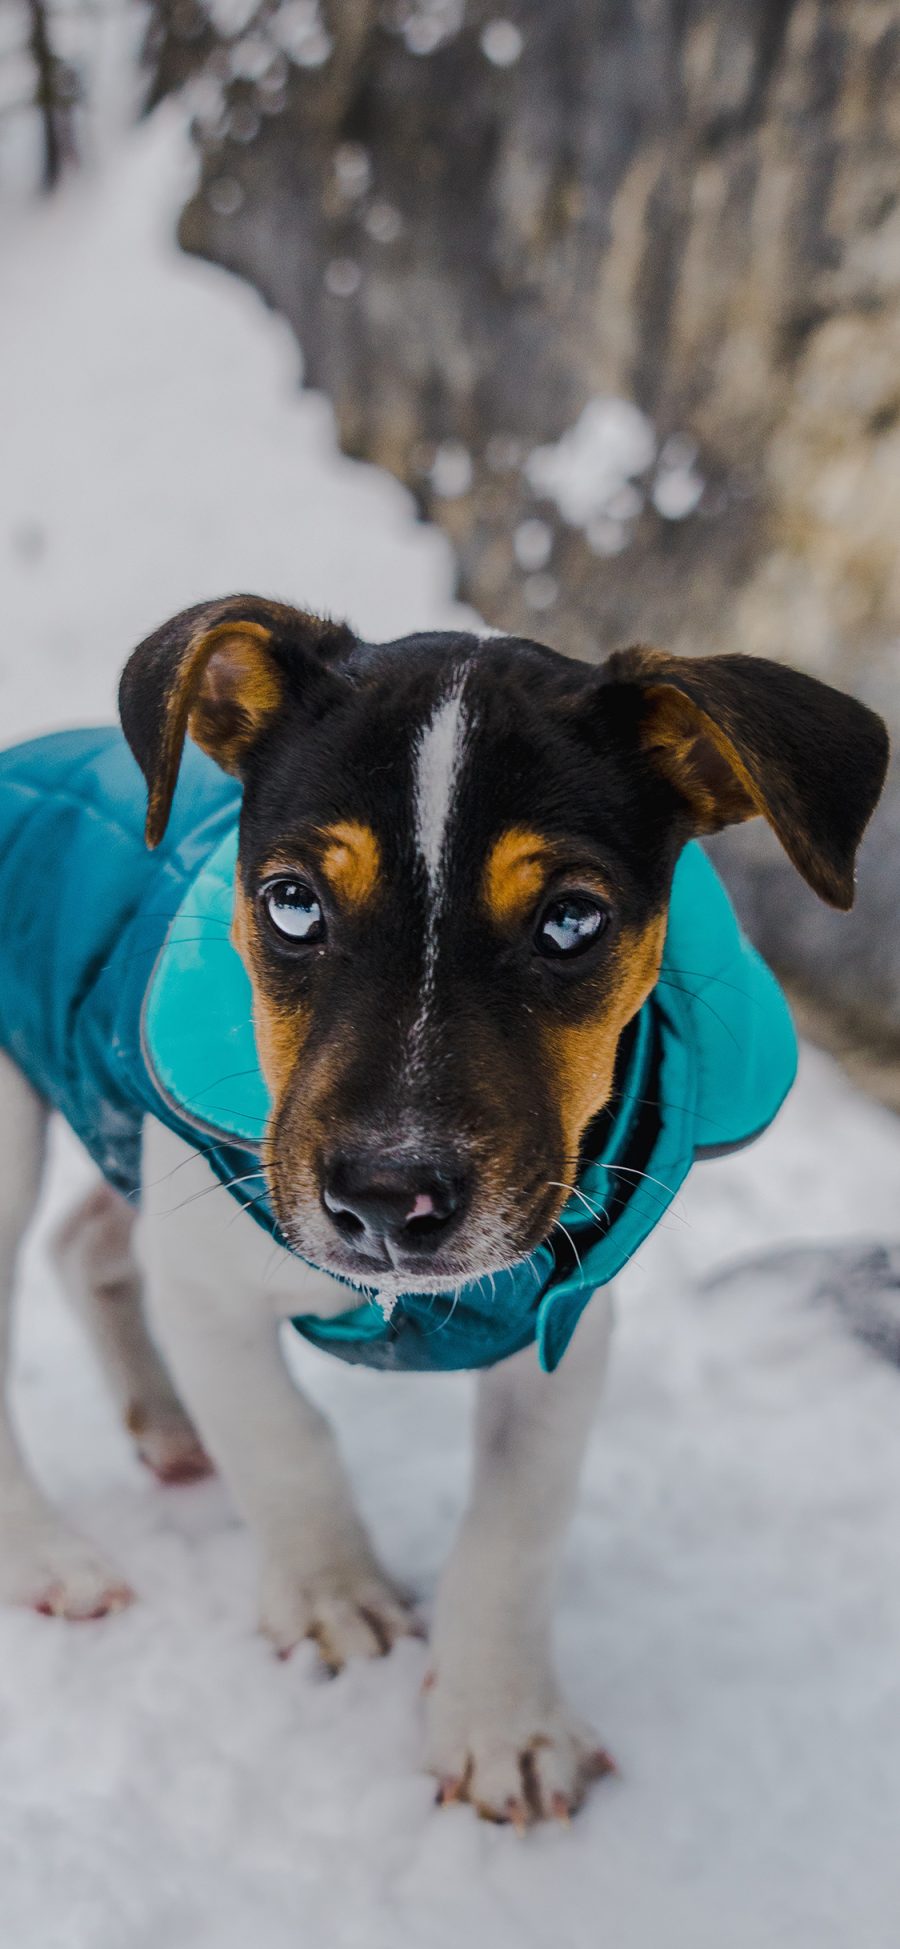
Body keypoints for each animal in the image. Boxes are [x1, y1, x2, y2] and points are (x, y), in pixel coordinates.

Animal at [0, 596, 884, 1824]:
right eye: (291, 902)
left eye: (571, 920)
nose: (385, 1199)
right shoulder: (211, 1282)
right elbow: (284, 1437)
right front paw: (334, 1595)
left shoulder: (565, 1321)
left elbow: (516, 1527)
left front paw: (501, 1719)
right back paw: (49, 1557)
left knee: (89, 1241)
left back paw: (169, 1431)